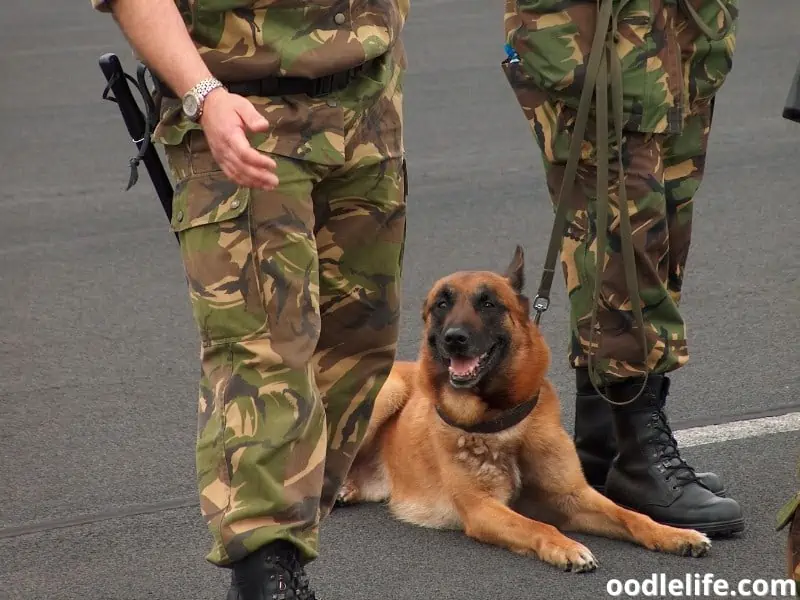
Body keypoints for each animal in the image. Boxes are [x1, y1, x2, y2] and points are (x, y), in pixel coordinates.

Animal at [338, 247, 712, 572]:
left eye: (488, 303)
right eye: (441, 304)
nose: (454, 338)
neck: (502, 419)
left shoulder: (573, 497)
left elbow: (631, 515)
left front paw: (673, 534)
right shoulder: (483, 509)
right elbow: (537, 526)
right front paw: (566, 547)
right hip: (388, 392)